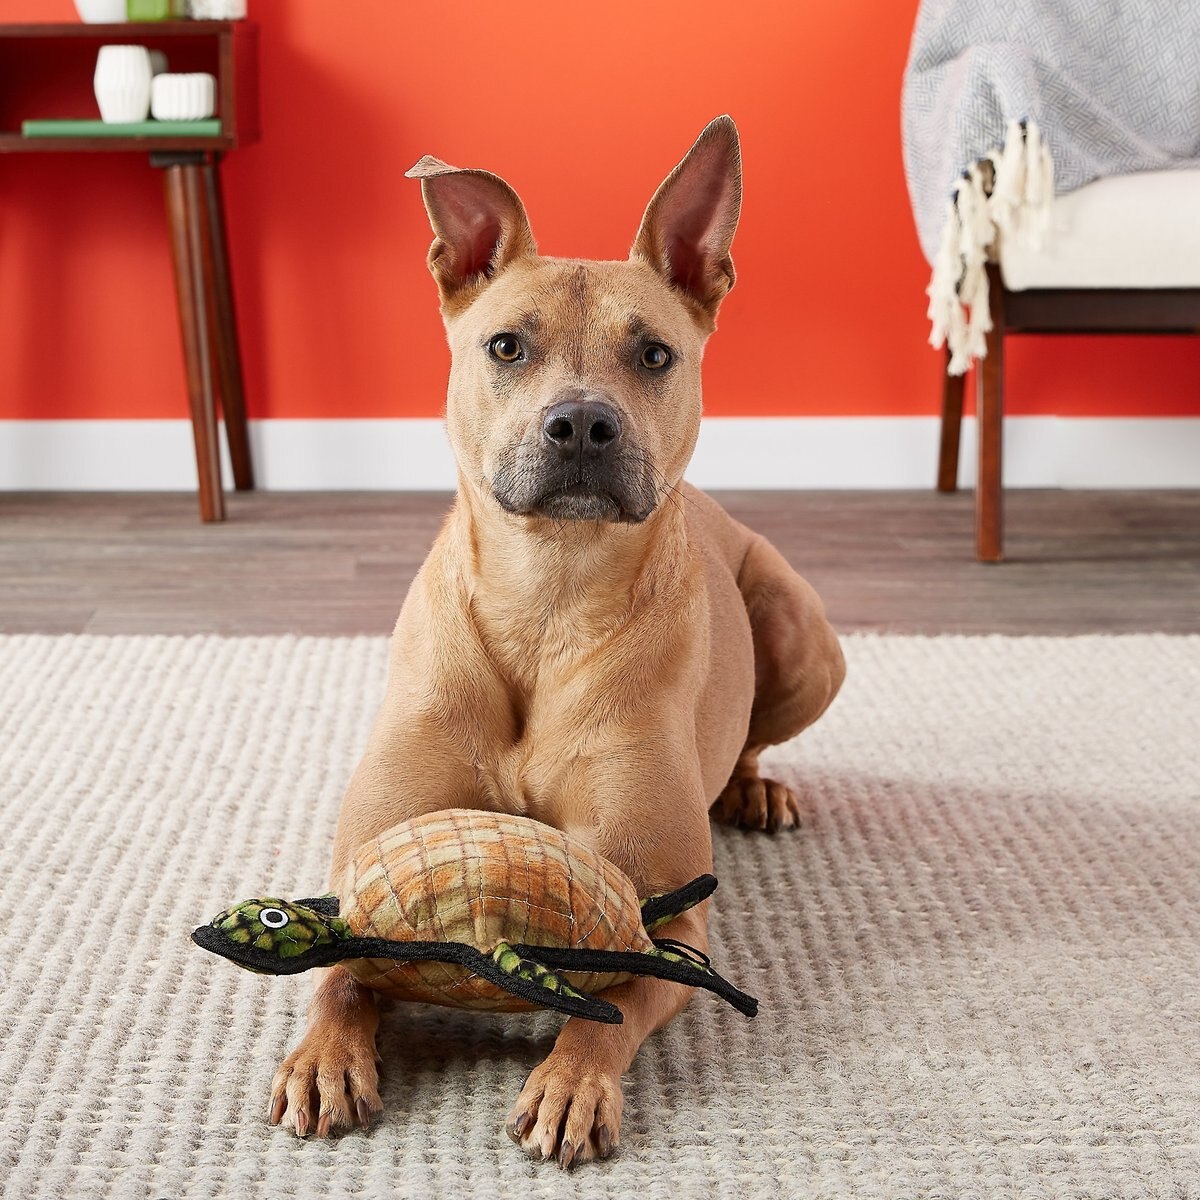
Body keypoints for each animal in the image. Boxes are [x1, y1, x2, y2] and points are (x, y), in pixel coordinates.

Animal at [270, 117, 844, 1166]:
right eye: (506, 345)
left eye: (654, 355)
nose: (580, 422)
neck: (546, 600)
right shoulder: (366, 857)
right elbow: (337, 968)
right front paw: (325, 1056)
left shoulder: (671, 910)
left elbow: (616, 998)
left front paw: (573, 1082)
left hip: (800, 631)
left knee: (756, 732)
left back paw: (754, 785)